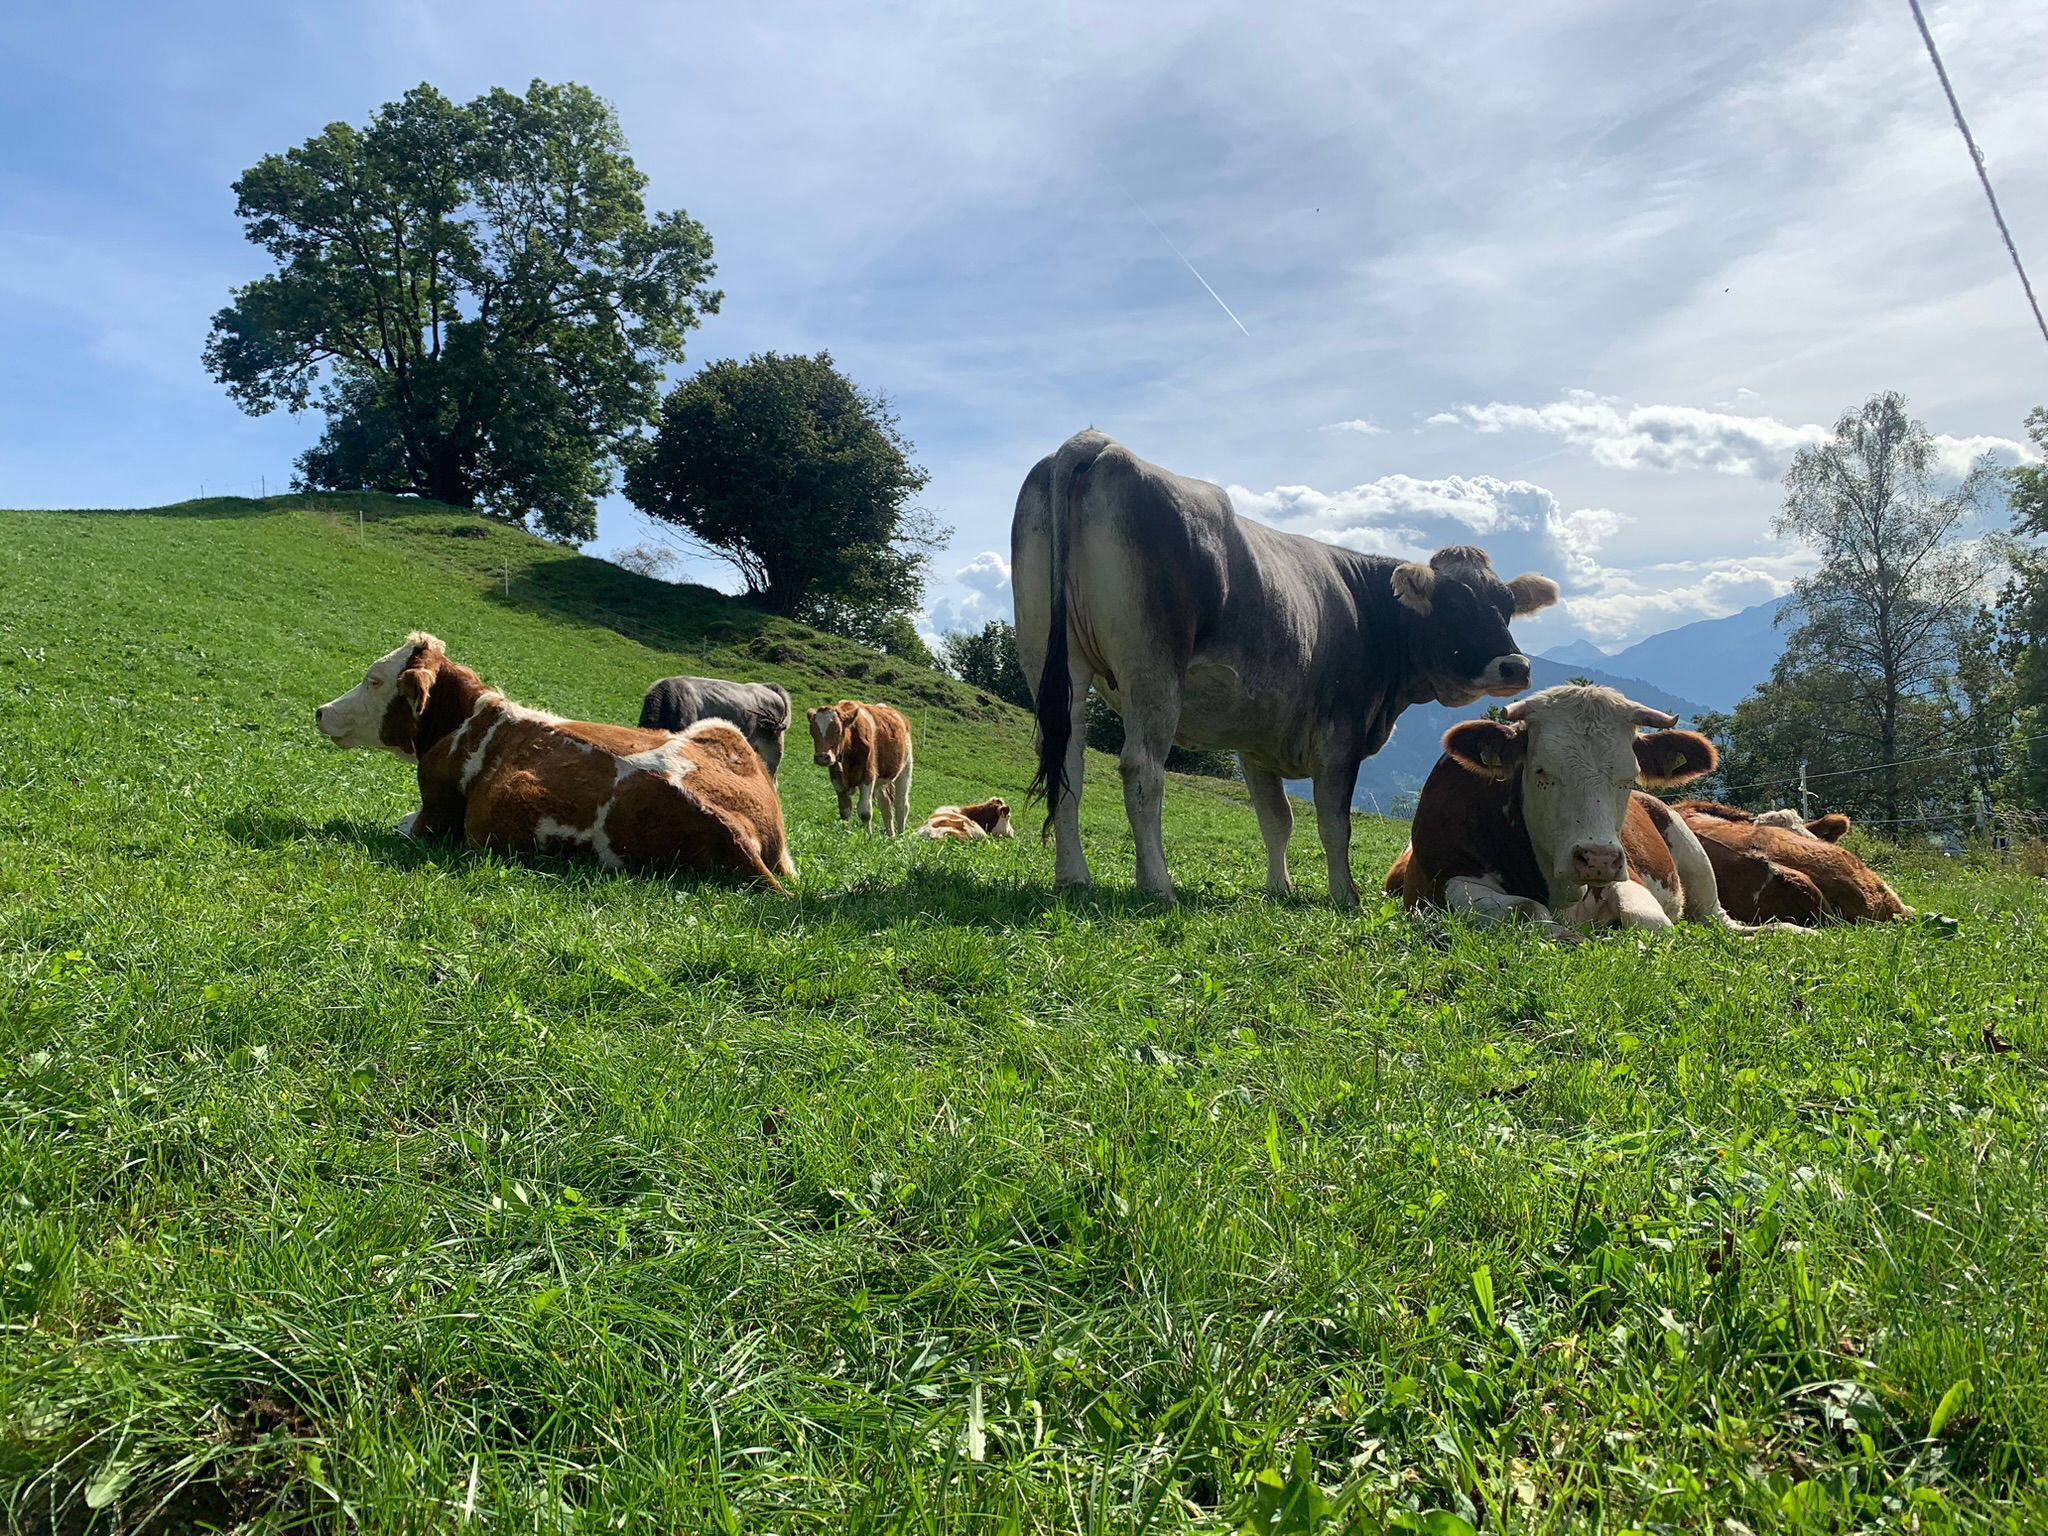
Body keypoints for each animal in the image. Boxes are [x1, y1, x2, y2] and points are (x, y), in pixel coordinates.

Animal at [807, 699, 914, 835]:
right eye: (812, 732)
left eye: (838, 730)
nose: (822, 757)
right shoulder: (837, 779)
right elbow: (845, 810)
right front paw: (845, 834)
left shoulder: (868, 776)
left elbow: (865, 812)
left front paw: (867, 836)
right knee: (886, 805)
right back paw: (891, 835)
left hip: (905, 769)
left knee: (901, 805)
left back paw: (900, 835)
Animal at [1013, 429, 1558, 906]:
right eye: (1457, 607)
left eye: (1507, 606)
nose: (1515, 666)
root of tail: (1098, 444)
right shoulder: (1340, 734)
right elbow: (1335, 823)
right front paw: (1345, 895)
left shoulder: (1256, 740)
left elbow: (1277, 819)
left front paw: (1280, 889)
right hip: (1153, 663)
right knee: (1141, 767)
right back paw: (1157, 886)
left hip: (1050, 653)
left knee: (1066, 758)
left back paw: (1073, 876)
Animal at [1384, 684, 1759, 935]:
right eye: (1541, 771)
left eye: (1630, 776)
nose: (1597, 858)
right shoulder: (1438, 885)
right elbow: (1527, 909)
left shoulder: (1630, 877)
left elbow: (1651, 922)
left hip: (1690, 851)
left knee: (1719, 919)